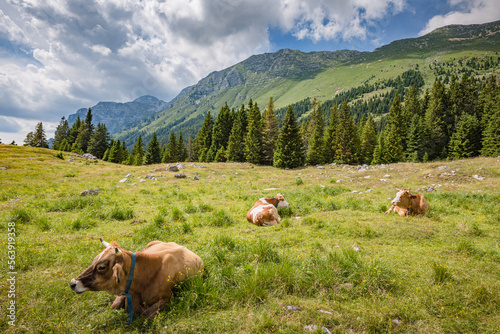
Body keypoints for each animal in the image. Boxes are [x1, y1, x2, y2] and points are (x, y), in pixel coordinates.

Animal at [70, 239, 203, 320]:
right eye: (94, 260)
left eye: (101, 267)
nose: (72, 283)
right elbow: (115, 305)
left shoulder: (167, 297)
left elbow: (145, 314)